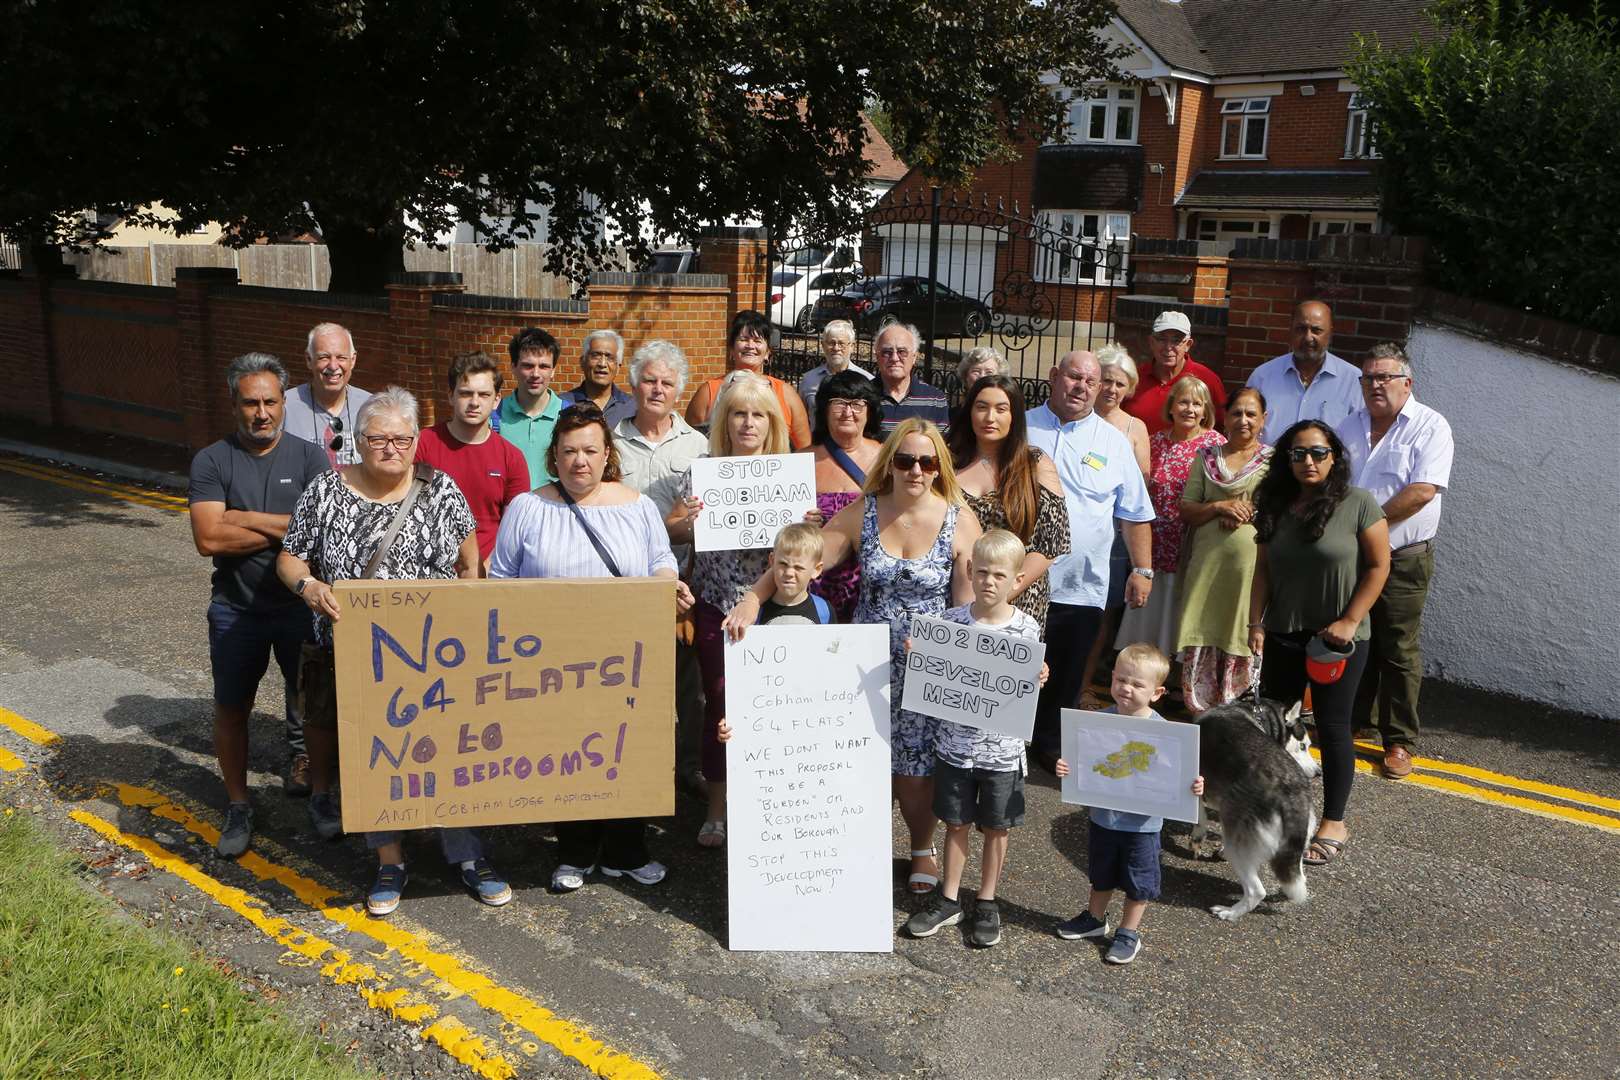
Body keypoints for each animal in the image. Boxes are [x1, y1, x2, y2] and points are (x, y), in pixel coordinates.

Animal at [1198, 702, 1321, 919]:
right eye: (1303, 746)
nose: (1318, 772)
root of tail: (1293, 789)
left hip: (1237, 847)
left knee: (1256, 891)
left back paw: (1230, 912)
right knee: (1297, 875)